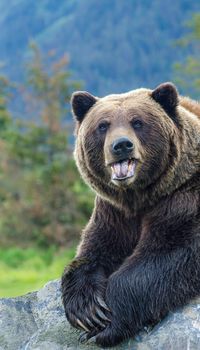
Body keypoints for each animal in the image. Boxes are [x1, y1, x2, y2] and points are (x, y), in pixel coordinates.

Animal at [61, 82, 200, 348]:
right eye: (103, 125)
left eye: (137, 122)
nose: (122, 145)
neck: (138, 197)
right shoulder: (113, 212)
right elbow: (94, 251)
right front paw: (88, 311)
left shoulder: (183, 197)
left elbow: (166, 255)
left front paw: (107, 324)